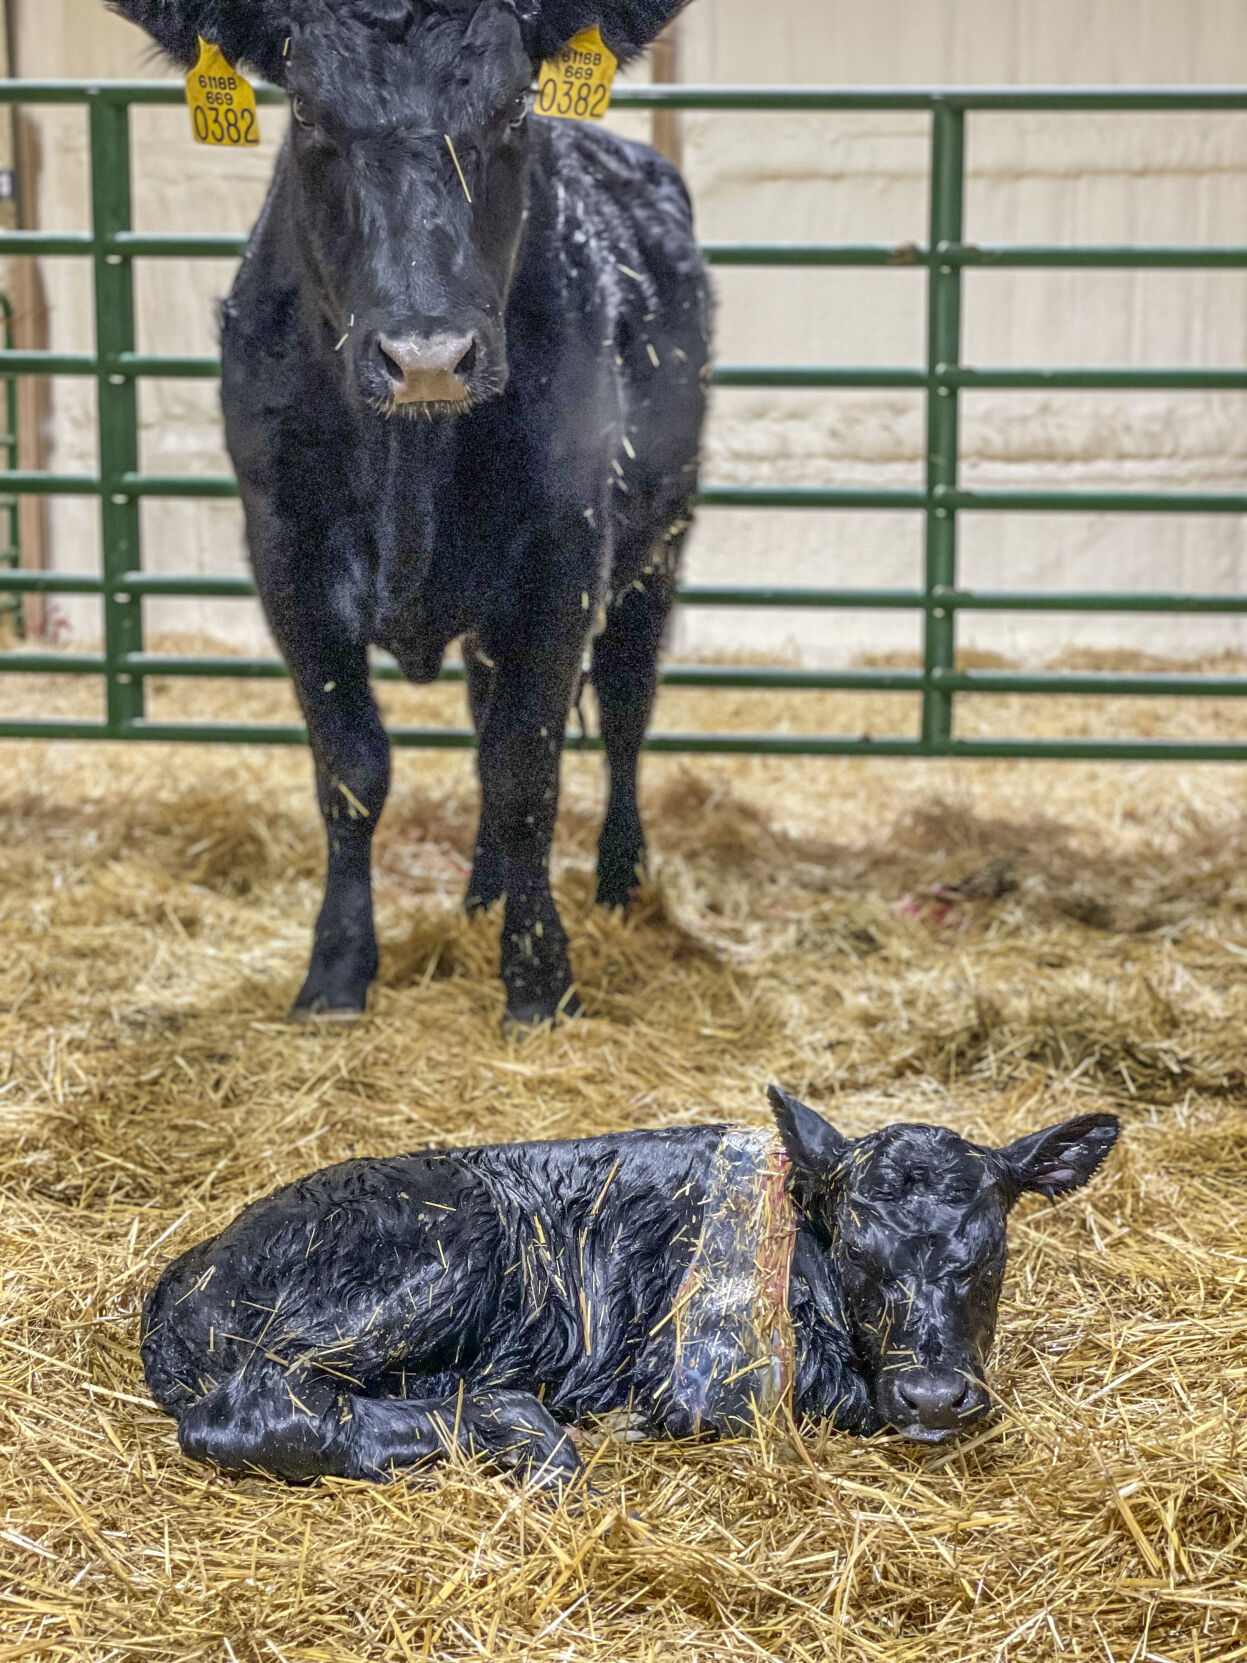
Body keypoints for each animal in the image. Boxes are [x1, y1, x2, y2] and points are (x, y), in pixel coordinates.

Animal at [108, 0, 710, 1025]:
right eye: (307, 111)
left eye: (515, 107)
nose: (427, 355)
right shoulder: (287, 560)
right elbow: (353, 769)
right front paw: (338, 972)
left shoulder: (564, 561)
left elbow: (525, 772)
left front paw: (538, 980)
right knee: (481, 714)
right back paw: (479, 895)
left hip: (657, 545)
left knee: (626, 709)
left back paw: (619, 883)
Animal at [140, 1089, 1120, 1490]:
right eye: (856, 1250)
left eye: (986, 1249)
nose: (931, 1392)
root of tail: (185, 1268)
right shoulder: (699, 1375)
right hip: (434, 1259)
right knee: (255, 1410)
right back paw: (529, 1435)